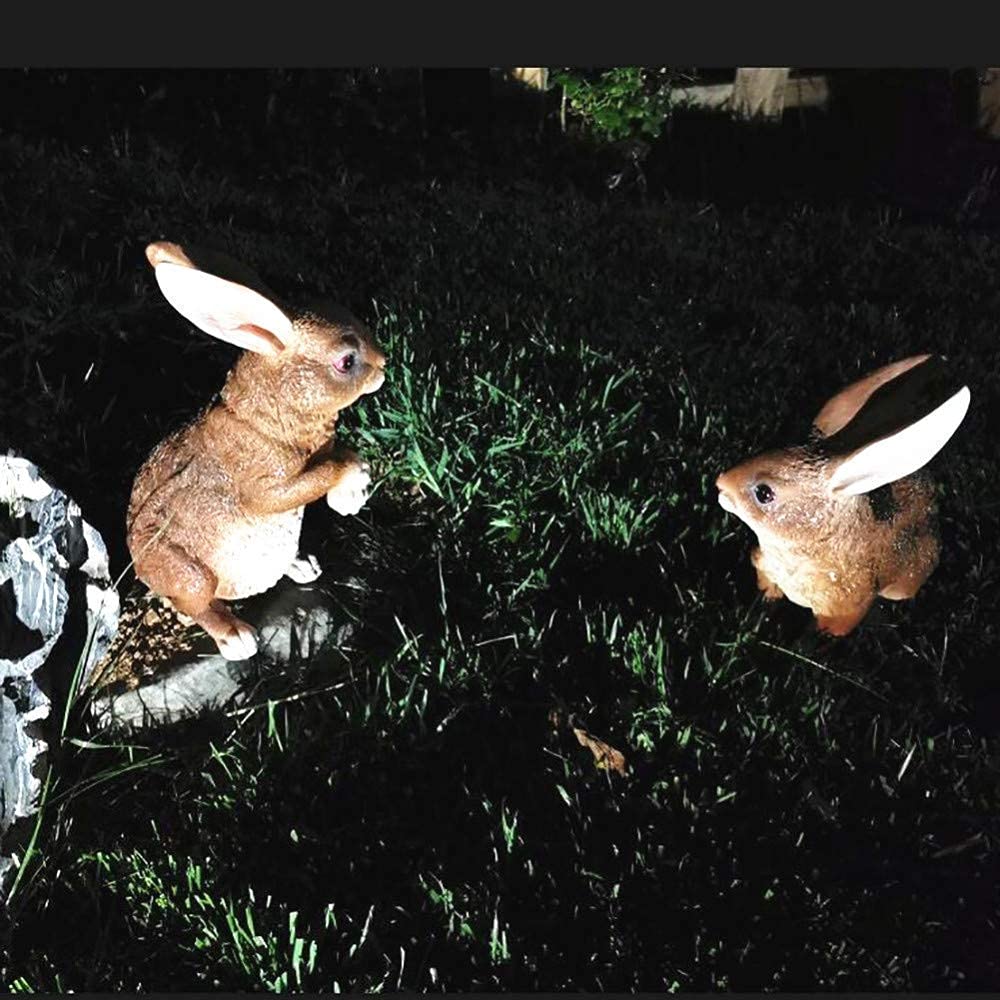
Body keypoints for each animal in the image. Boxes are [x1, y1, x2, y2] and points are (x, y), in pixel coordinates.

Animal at [126, 240, 385, 661]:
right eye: (347, 361)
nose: (383, 365)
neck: (268, 417)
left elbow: (338, 457)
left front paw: (352, 493)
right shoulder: (266, 485)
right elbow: (320, 474)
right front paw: (351, 493)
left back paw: (303, 566)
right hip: (190, 575)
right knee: (197, 604)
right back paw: (236, 639)